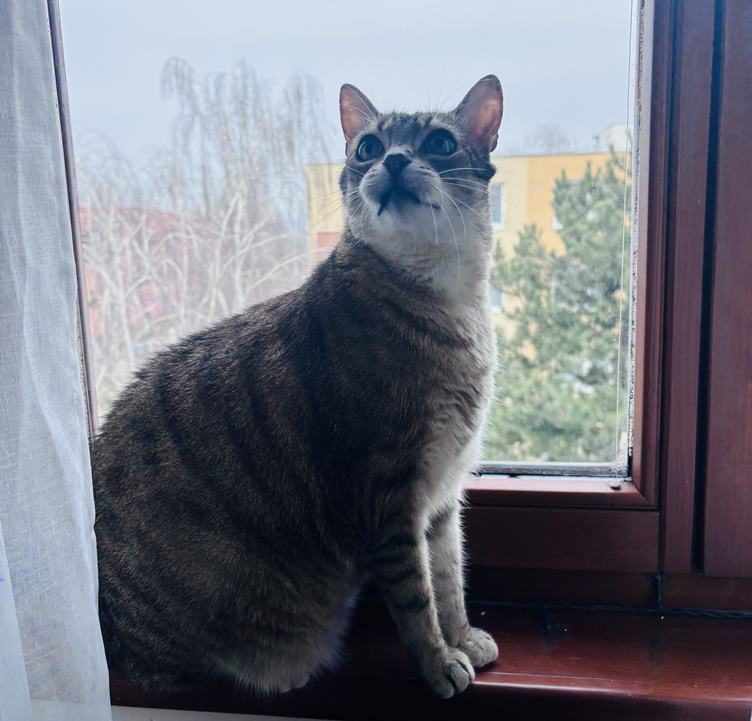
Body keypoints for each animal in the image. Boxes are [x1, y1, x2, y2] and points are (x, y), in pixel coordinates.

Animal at [92, 75, 503, 699]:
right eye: (368, 148)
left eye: (439, 143)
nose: (395, 159)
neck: (447, 296)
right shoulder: (388, 499)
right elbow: (418, 600)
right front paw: (438, 662)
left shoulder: (441, 497)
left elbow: (450, 580)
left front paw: (462, 638)